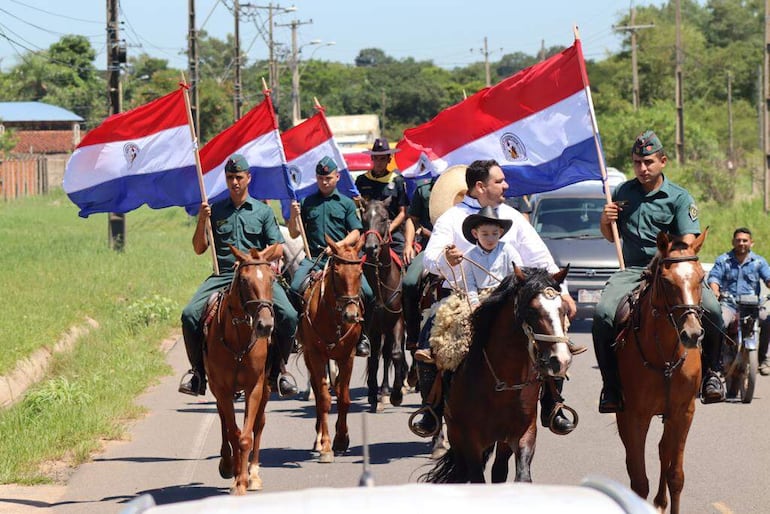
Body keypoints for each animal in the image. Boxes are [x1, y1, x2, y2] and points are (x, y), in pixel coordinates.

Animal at [202, 242, 280, 494]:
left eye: (272, 279)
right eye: (244, 281)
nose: (265, 326)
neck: (238, 340)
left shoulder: (254, 386)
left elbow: (246, 435)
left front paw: (243, 481)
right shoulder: (222, 388)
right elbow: (233, 431)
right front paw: (235, 473)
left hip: (265, 387)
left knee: (259, 423)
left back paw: (253, 473)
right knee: (224, 420)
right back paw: (228, 464)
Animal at [296, 234, 364, 462]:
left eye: (360, 273)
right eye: (337, 273)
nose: (351, 315)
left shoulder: (347, 356)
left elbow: (344, 398)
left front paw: (341, 439)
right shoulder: (316, 356)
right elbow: (324, 399)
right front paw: (326, 445)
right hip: (310, 357)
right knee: (318, 394)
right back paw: (318, 439)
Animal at [420, 262, 568, 482]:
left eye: (564, 310)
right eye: (531, 310)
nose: (561, 360)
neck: (503, 384)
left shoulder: (523, 433)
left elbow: (521, 476)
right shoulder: (469, 440)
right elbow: (476, 477)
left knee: (499, 470)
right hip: (456, 434)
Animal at [616, 229, 704, 512]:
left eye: (702, 277)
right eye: (666, 282)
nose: (692, 334)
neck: (665, 355)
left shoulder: (684, 412)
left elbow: (676, 476)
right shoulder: (635, 416)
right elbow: (639, 481)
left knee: (664, 450)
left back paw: (660, 501)